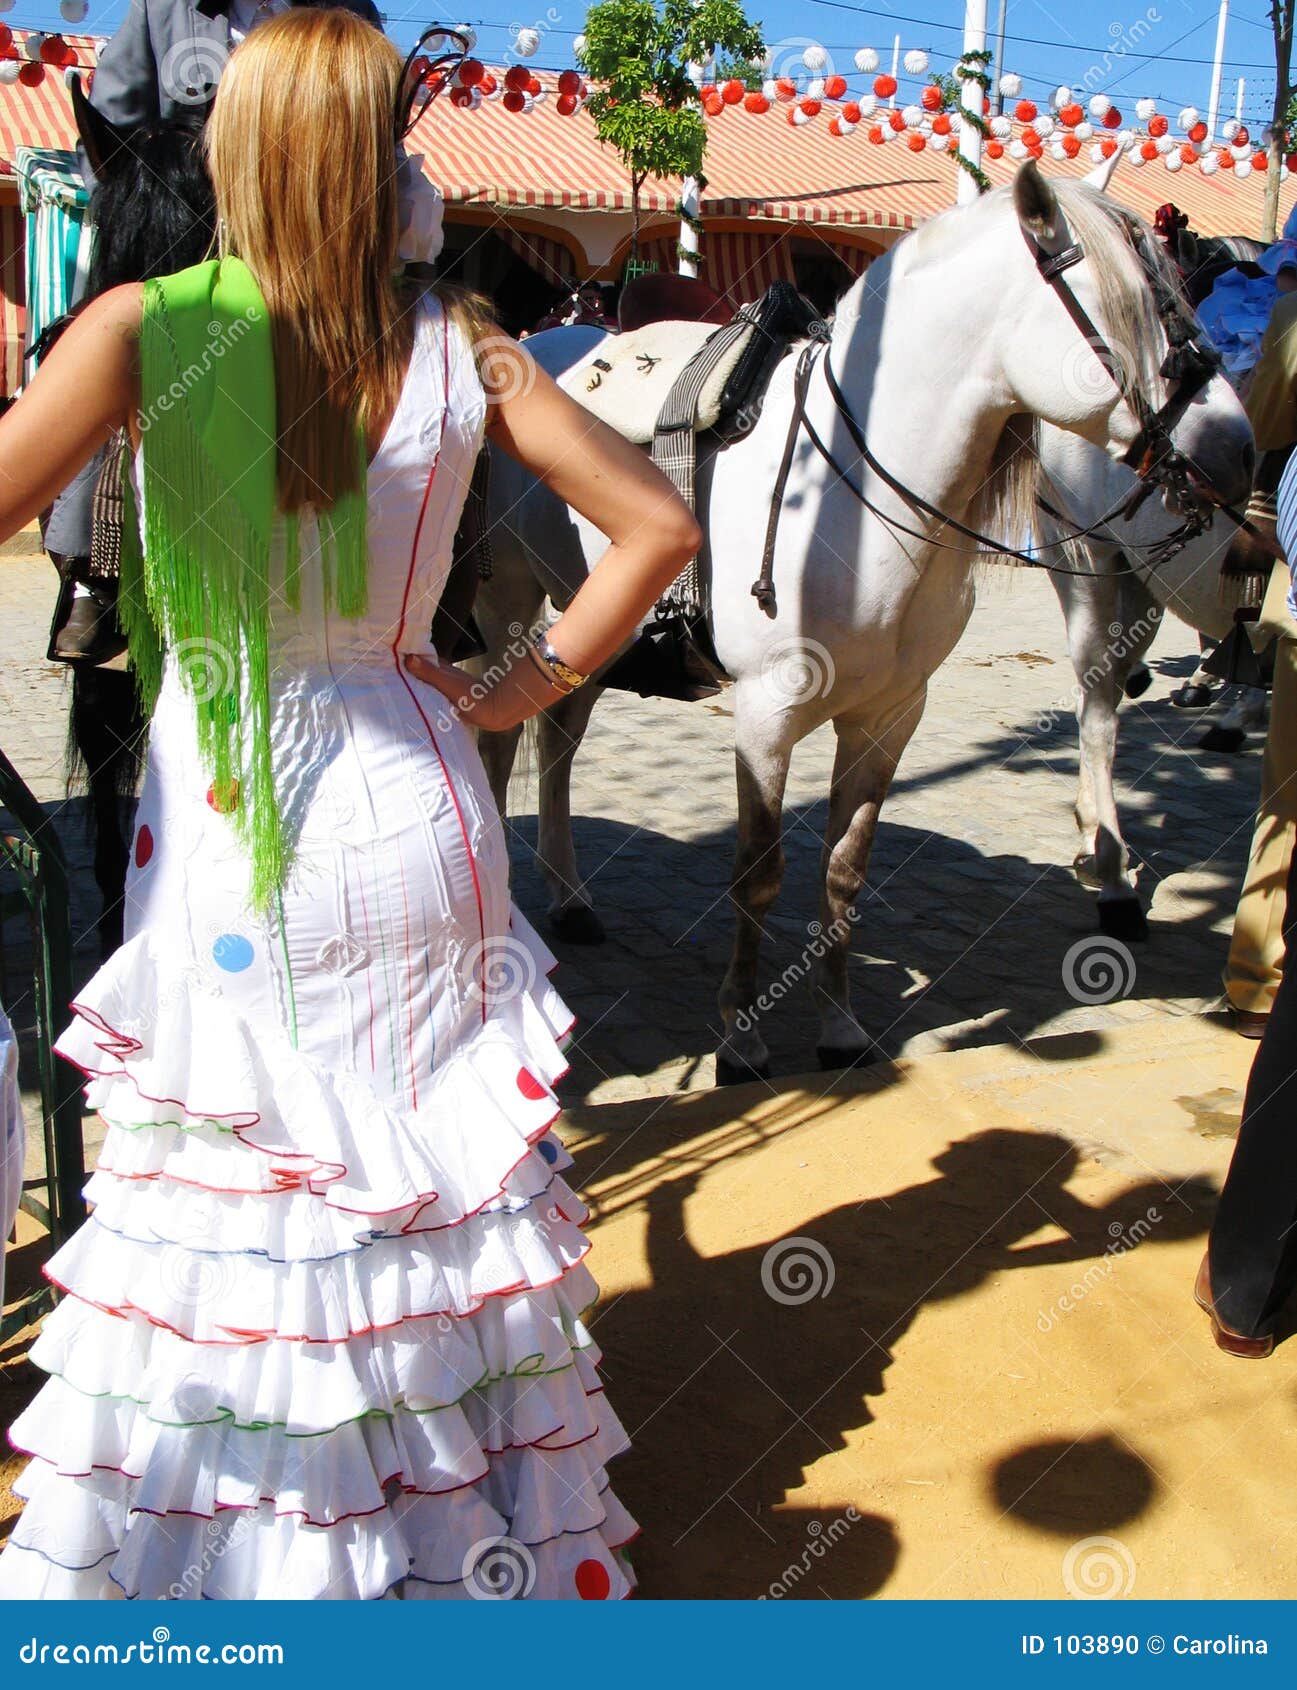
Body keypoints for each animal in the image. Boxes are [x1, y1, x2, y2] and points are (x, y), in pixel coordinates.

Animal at [480, 161, 1258, 1081]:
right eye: (1140, 305)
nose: (1238, 452)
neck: (852, 495)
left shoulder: (889, 716)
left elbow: (844, 871)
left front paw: (840, 1027)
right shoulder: (765, 717)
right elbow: (759, 872)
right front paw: (741, 1037)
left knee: (560, 737)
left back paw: (569, 900)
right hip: (506, 605)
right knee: (498, 745)